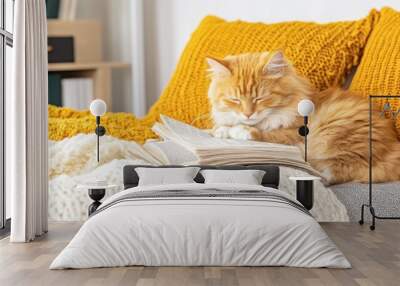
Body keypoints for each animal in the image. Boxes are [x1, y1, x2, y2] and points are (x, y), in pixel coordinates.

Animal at [208, 51, 400, 184]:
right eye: (235, 100)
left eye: (260, 98)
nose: (248, 114)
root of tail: (394, 146)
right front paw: (220, 130)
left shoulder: (294, 135)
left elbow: (261, 134)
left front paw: (237, 131)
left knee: (340, 172)